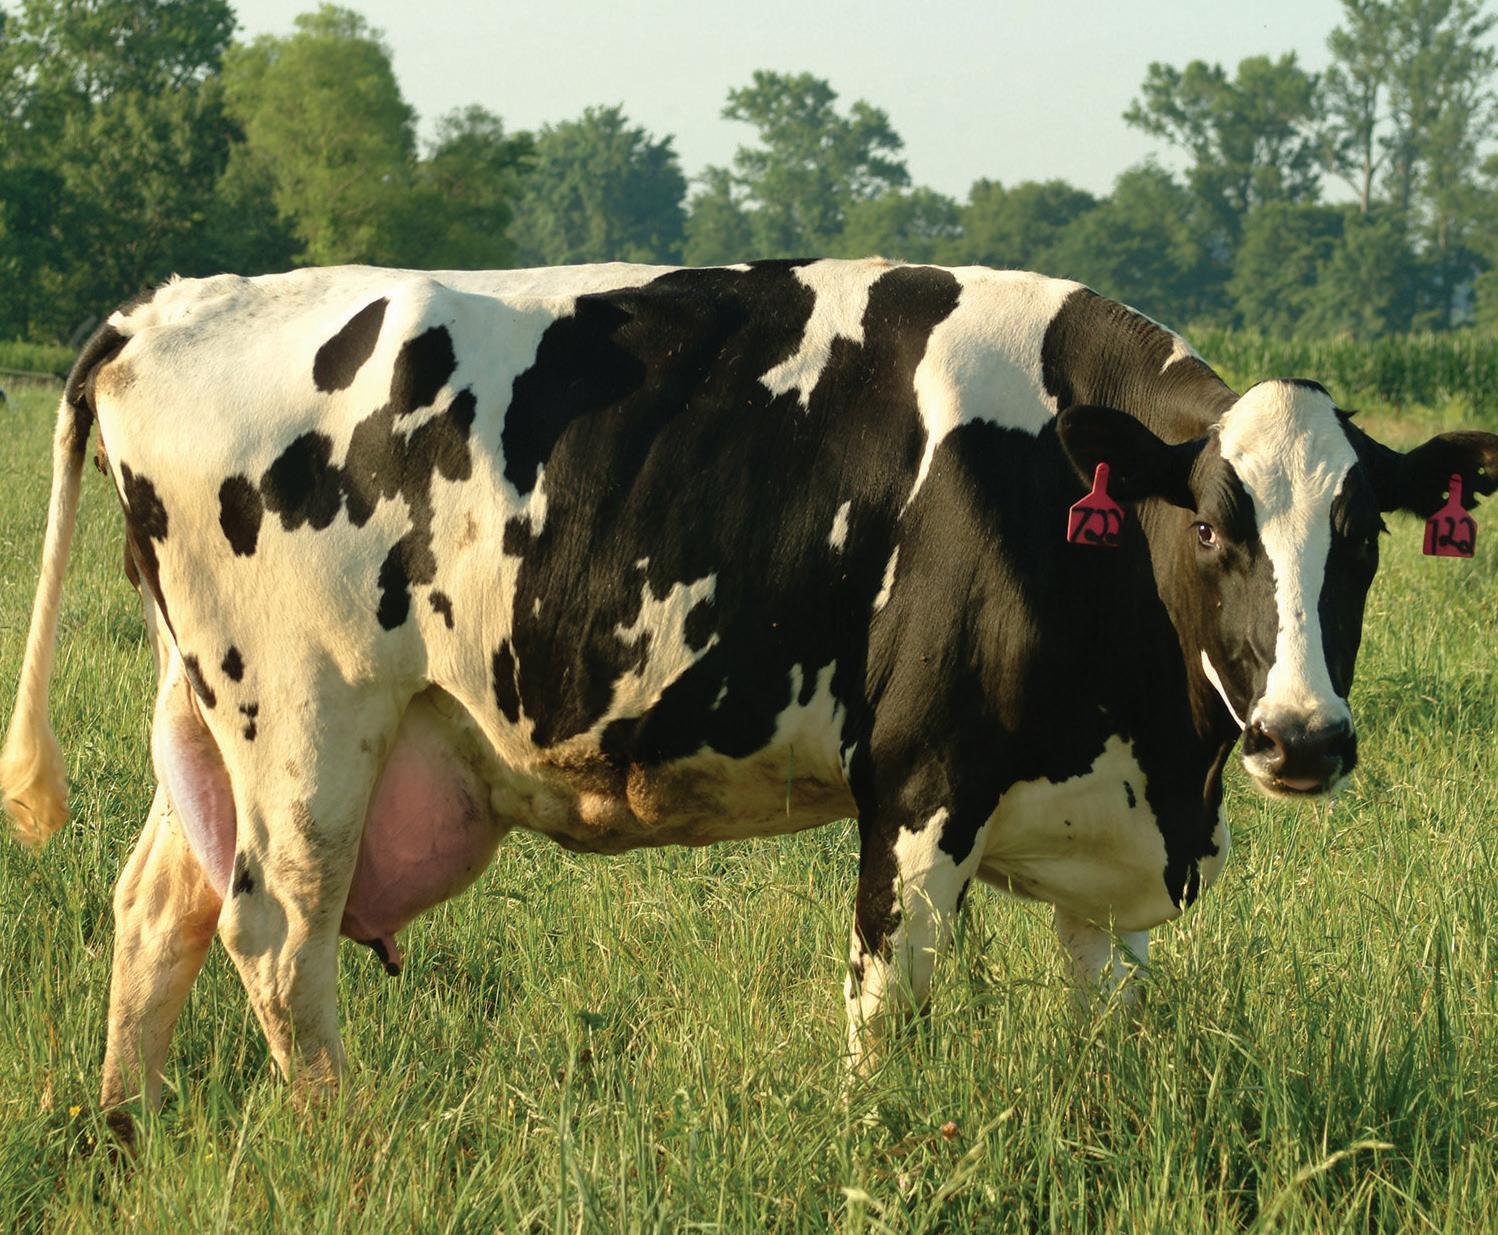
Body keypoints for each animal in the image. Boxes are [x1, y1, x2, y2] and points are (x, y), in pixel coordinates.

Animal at [2, 259, 1495, 1128]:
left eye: (1359, 535)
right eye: (1213, 530)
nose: (1303, 736)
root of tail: (167, 304)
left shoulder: (1110, 821)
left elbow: (1107, 1028)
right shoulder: (919, 782)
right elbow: (888, 1004)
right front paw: (874, 1152)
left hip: (212, 706)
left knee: (159, 907)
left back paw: (127, 1133)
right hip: (308, 714)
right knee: (276, 933)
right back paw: (345, 1139)